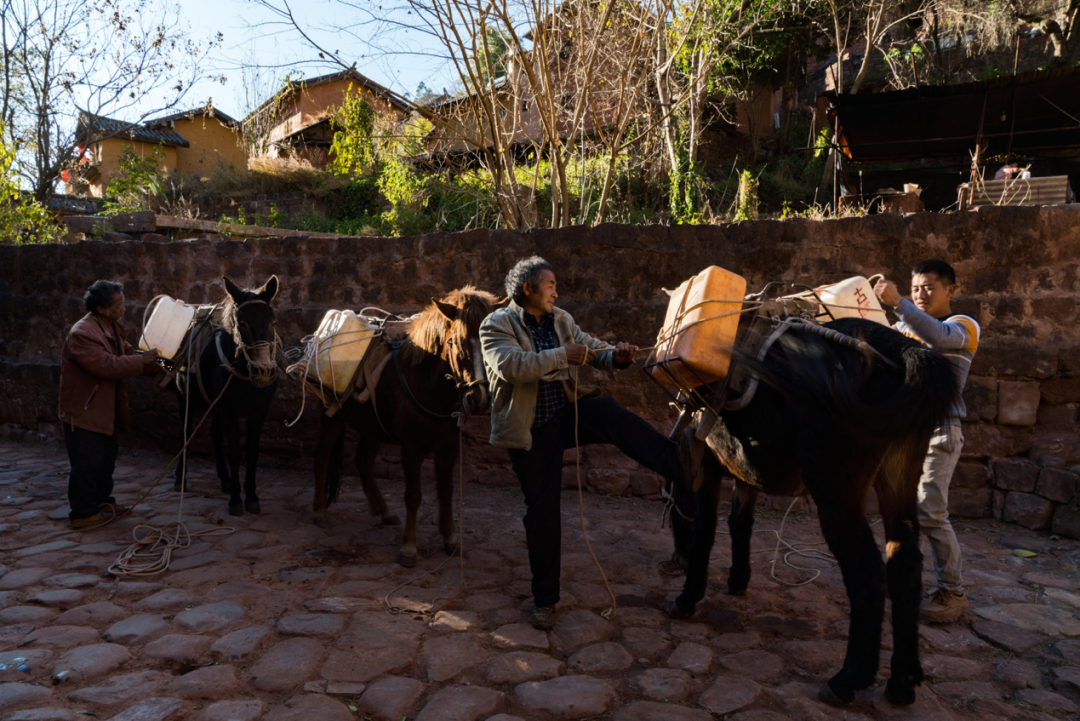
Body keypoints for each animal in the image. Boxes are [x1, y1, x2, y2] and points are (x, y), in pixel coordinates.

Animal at [174, 273, 280, 515]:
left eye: (272, 323)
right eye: (242, 324)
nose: (264, 371)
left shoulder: (258, 411)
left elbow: (251, 451)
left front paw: (251, 496)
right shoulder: (228, 410)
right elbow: (234, 451)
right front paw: (235, 500)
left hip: (215, 406)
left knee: (214, 433)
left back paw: (225, 479)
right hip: (186, 399)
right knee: (185, 434)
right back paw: (179, 479)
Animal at [311, 284, 498, 565]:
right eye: (456, 342)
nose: (479, 399)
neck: (428, 384)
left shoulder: (448, 447)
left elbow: (447, 490)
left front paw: (450, 539)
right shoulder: (411, 447)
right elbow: (413, 495)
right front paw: (408, 547)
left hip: (372, 426)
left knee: (362, 461)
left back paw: (384, 511)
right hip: (330, 415)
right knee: (322, 457)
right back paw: (320, 511)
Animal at [665, 317, 954, 708]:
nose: (673, 563)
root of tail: (904, 348)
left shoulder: (707, 463)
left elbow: (705, 531)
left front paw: (688, 597)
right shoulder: (747, 469)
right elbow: (740, 523)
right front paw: (738, 580)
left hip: (835, 494)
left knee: (867, 573)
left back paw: (847, 679)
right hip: (899, 480)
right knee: (905, 564)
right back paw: (902, 682)